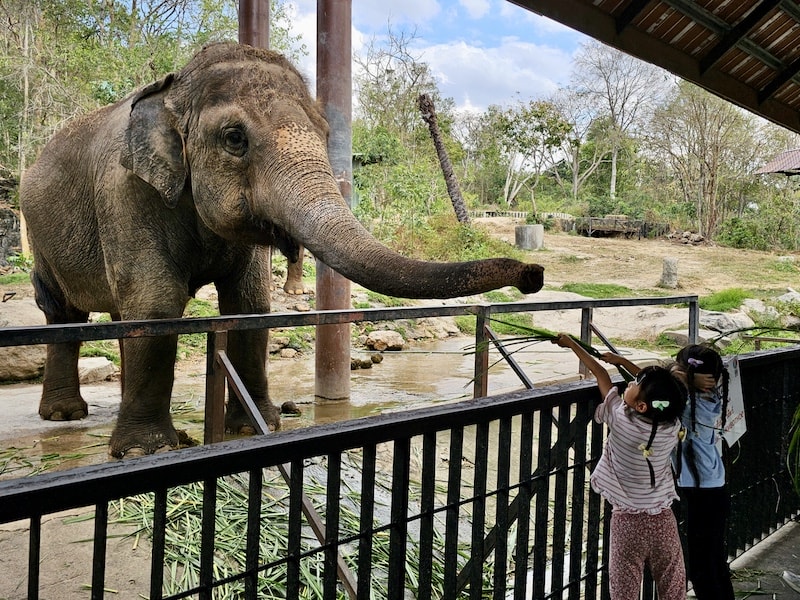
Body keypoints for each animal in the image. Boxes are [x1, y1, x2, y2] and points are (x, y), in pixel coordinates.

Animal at [19, 42, 544, 458]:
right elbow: (156, 302)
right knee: (64, 313)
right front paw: (144, 451)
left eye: (327, 135)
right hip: (38, 234)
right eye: (234, 138)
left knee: (116, 314)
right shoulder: (126, 193)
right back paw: (65, 416)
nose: (533, 275)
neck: (171, 89)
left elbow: (250, 304)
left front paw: (258, 426)